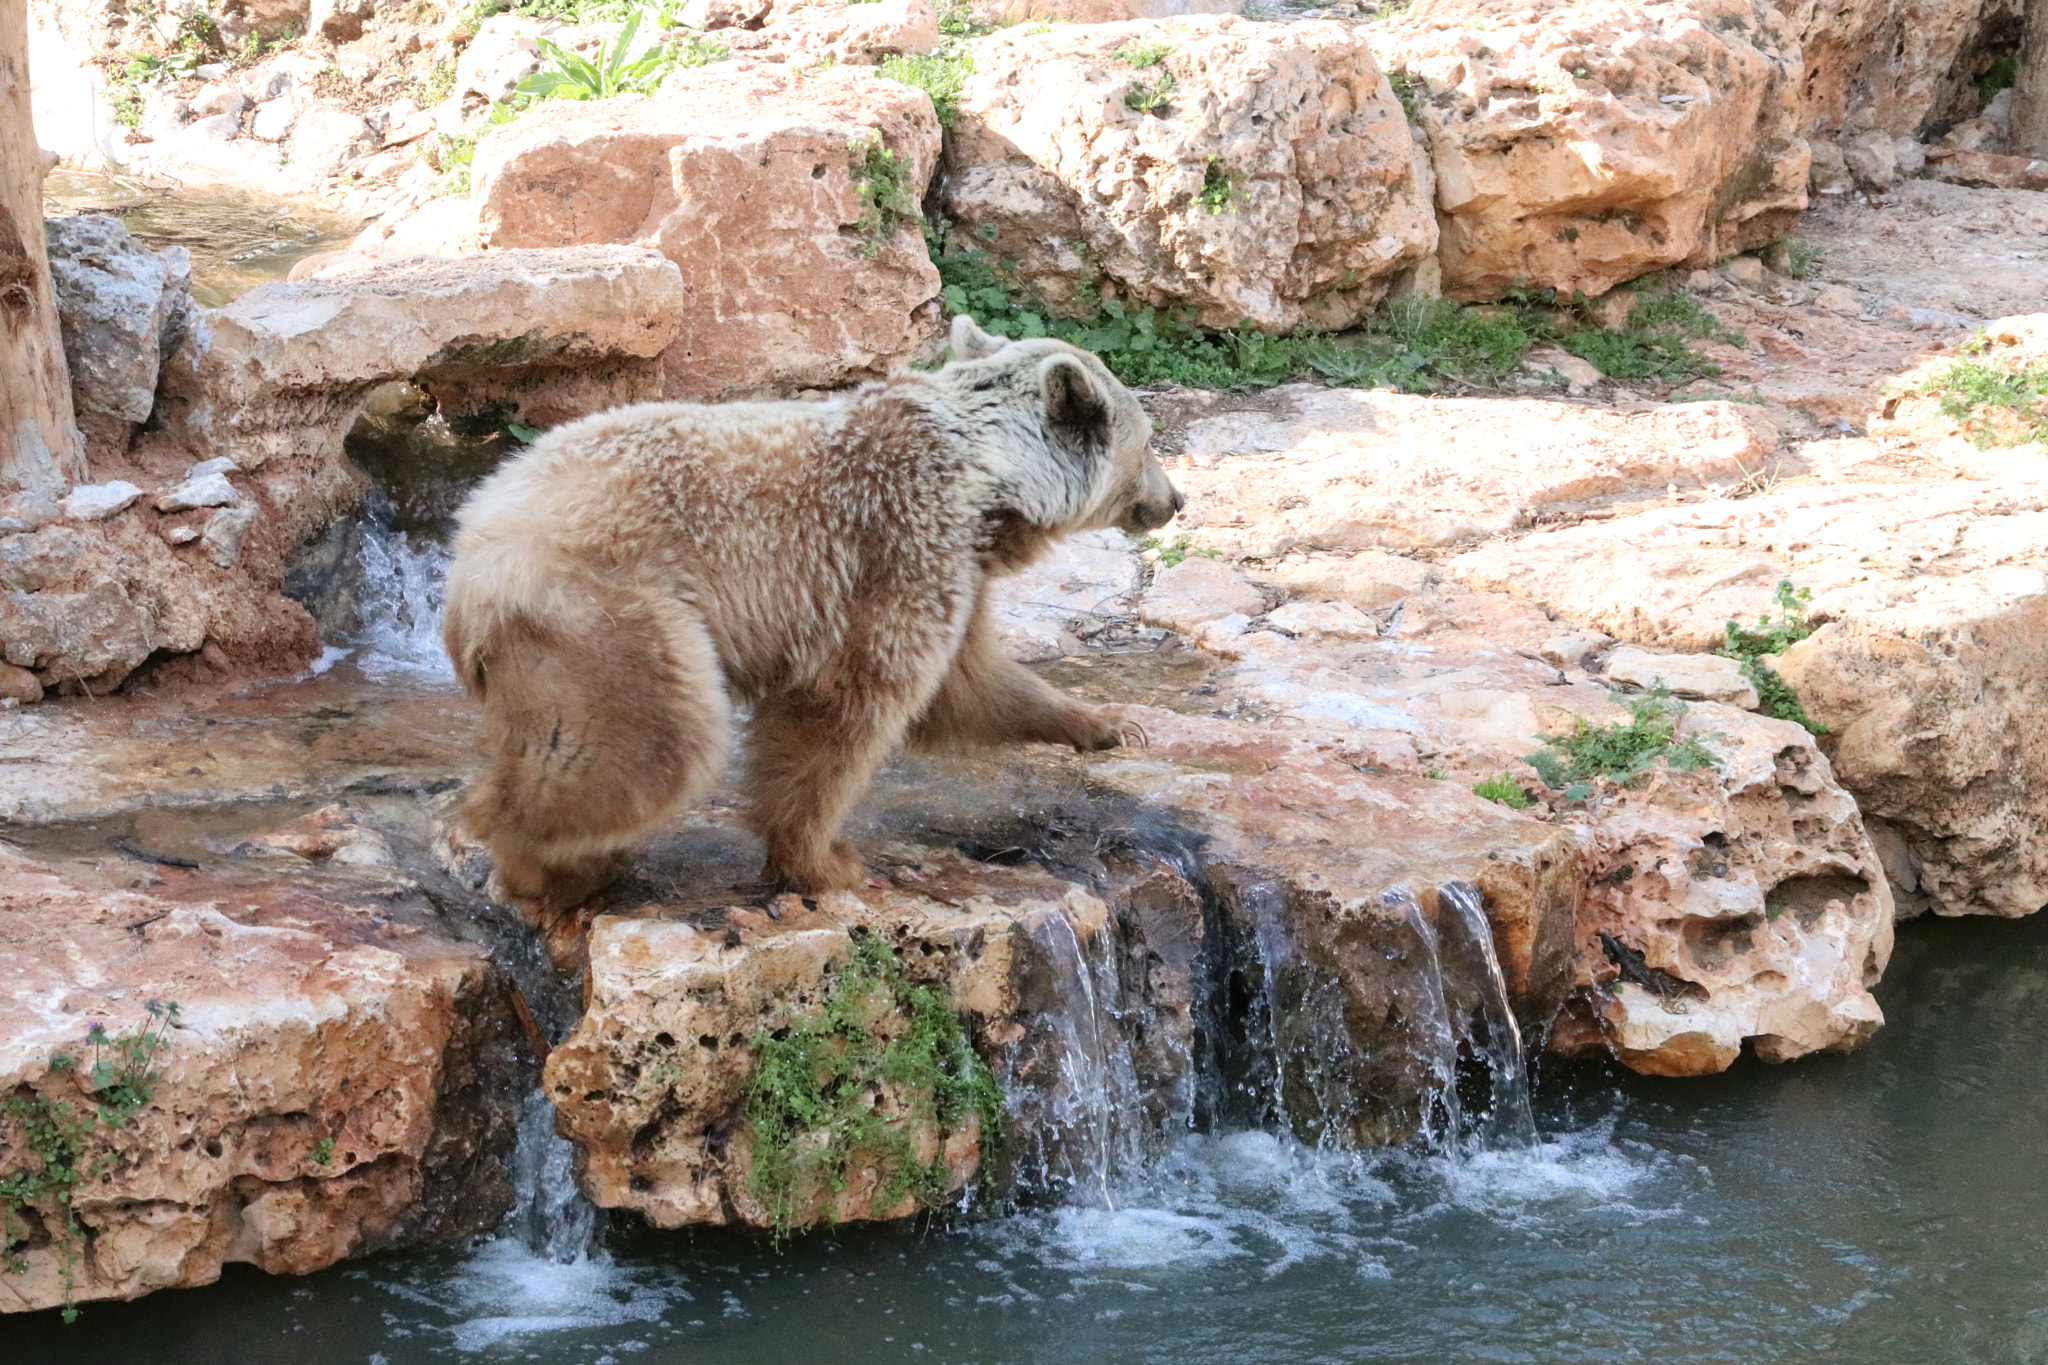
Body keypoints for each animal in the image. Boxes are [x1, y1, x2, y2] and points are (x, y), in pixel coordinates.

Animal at [448, 317, 1187, 916]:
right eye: (1149, 442)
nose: (1175, 499)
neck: (987, 482)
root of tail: (468, 553)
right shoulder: (893, 545)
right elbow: (847, 707)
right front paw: (825, 861)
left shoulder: (957, 568)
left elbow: (969, 683)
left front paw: (1108, 725)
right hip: (606, 610)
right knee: (654, 744)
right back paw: (538, 865)